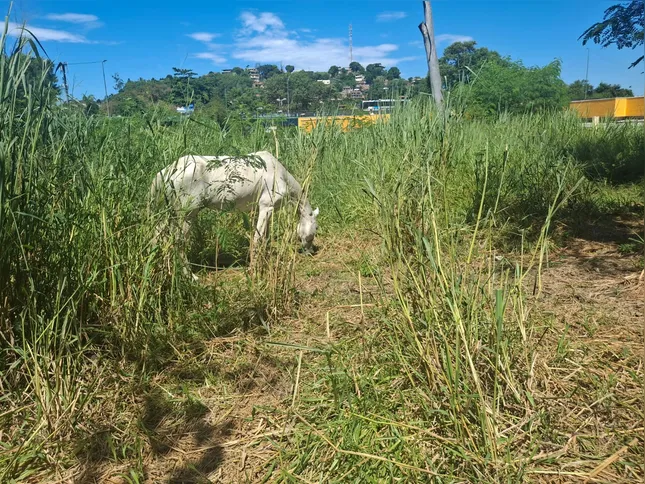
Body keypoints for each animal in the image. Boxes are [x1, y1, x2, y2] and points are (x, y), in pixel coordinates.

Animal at [149, 151, 319, 277]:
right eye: (315, 230)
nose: (310, 252)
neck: (280, 174)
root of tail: (164, 173)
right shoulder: (266, 207)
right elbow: (258, 239)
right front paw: (254, 269)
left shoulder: (263, 211)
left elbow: (264, 238)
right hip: (186, 214)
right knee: (179, 242)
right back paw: (190, 276)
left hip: (172, 213)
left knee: (158, 236)